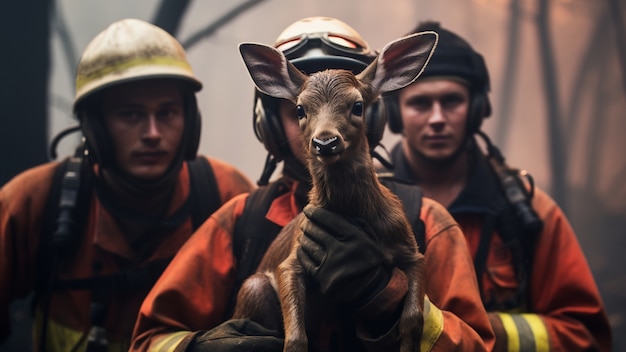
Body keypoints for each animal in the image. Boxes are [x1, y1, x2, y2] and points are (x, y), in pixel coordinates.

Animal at [232, 31, 436, 350]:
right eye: (300, 109)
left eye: (358, 105)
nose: (325, 142)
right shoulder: (292, 261)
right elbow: (295, 337)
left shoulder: (410, 249)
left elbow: (414, 317)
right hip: (254, 285)